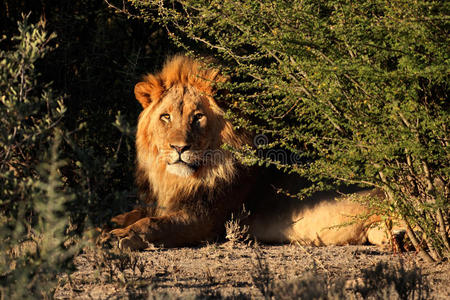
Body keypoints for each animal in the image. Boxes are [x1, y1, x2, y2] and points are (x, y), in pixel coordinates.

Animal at [106, 55, 390, 250]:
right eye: (166, 117)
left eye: (197, 117)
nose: (179, 148)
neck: (178, 179)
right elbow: (137, 214)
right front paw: (111, 226)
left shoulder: (206, 220)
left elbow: (155, 223)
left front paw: (121, 237)